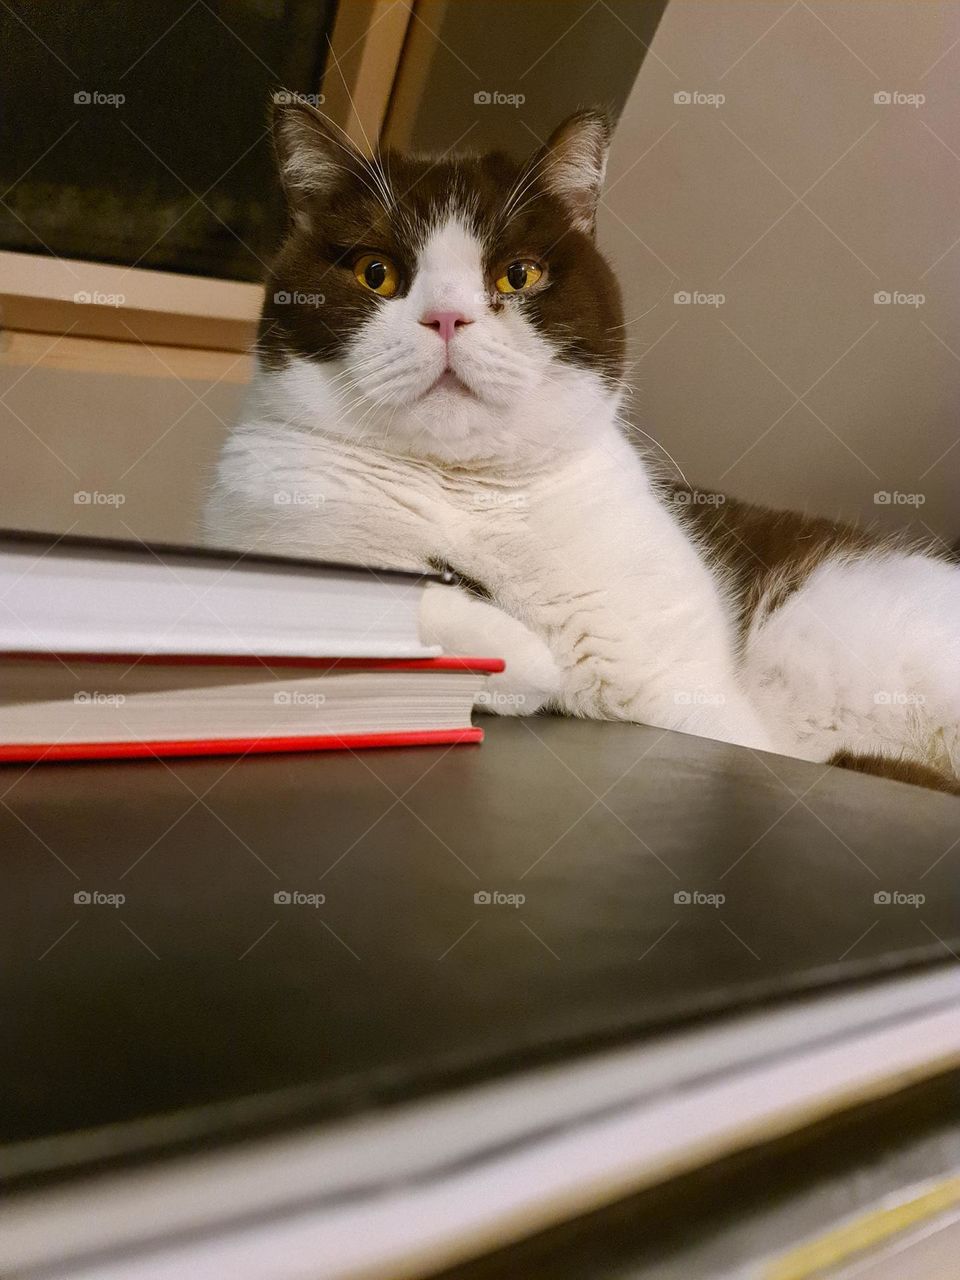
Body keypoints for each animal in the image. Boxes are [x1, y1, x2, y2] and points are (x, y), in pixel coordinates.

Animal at [207, 97, 960, 788]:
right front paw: (514, 650)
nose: (447, 317)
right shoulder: (267, 523)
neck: (465, 487)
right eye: (376, 273)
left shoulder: (688, 695)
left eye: (518, 275)